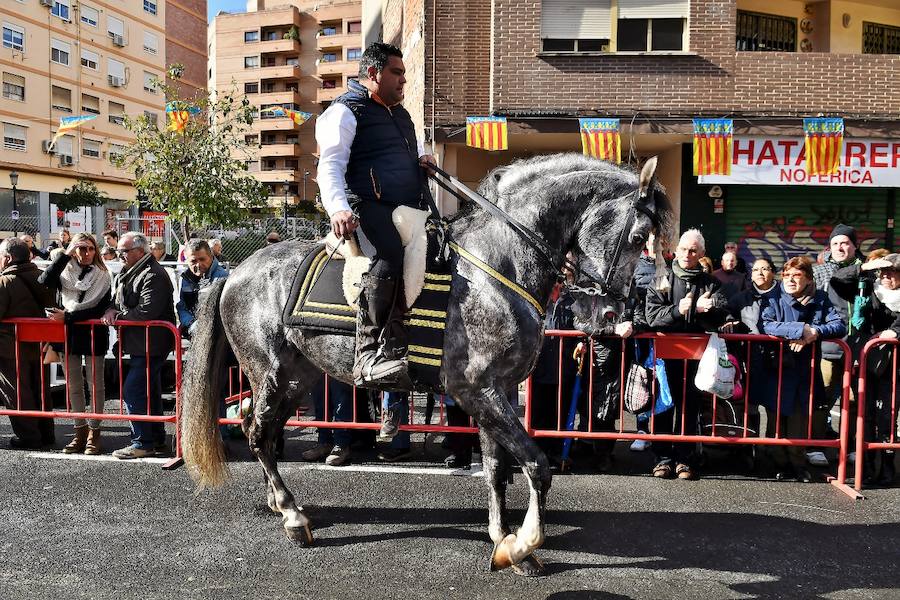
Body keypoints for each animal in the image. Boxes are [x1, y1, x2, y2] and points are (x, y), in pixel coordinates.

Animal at [183, 152, 668, 576]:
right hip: (271, 371)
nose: (612, 314)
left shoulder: (496, 391)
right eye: (638, 238)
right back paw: (291, 517)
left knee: (260, 429)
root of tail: (236, 271)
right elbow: (536, 465)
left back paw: (280, 501)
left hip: (297, 377)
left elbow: (496, 468)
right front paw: (523, 544)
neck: (499, 263)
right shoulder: (478, 391)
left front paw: (503, 539)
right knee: (257, 433)